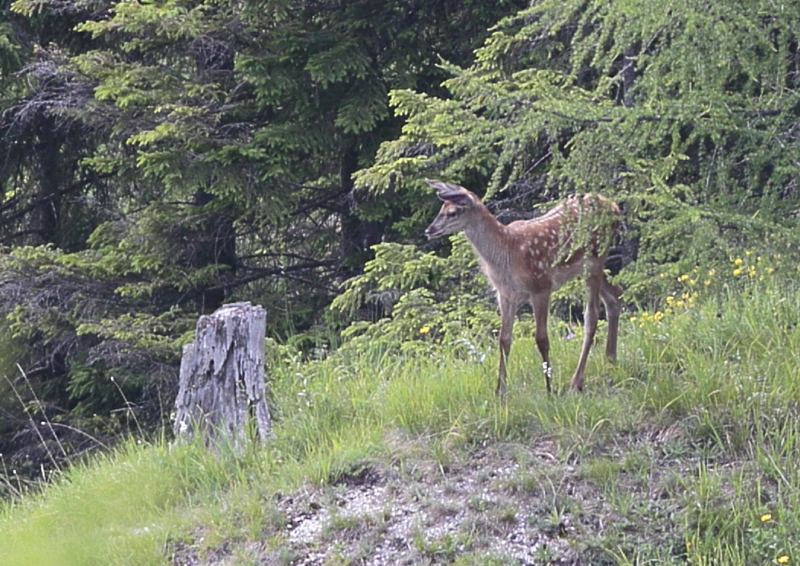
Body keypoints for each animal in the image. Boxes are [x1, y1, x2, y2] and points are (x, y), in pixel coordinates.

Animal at [422, 181, 620, 394]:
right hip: (588, 267)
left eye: (452, 212)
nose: (429, 230)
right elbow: (504, 340)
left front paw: (549, 390)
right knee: (615, 295)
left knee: (592, 314)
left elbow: (541, 339)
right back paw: (611, 358)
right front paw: (500, 391)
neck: (508, 251)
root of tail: (614, 206)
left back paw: (576, 382)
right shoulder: (505, 294)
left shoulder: (541, 286)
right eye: (440, 209)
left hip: (594, 260)